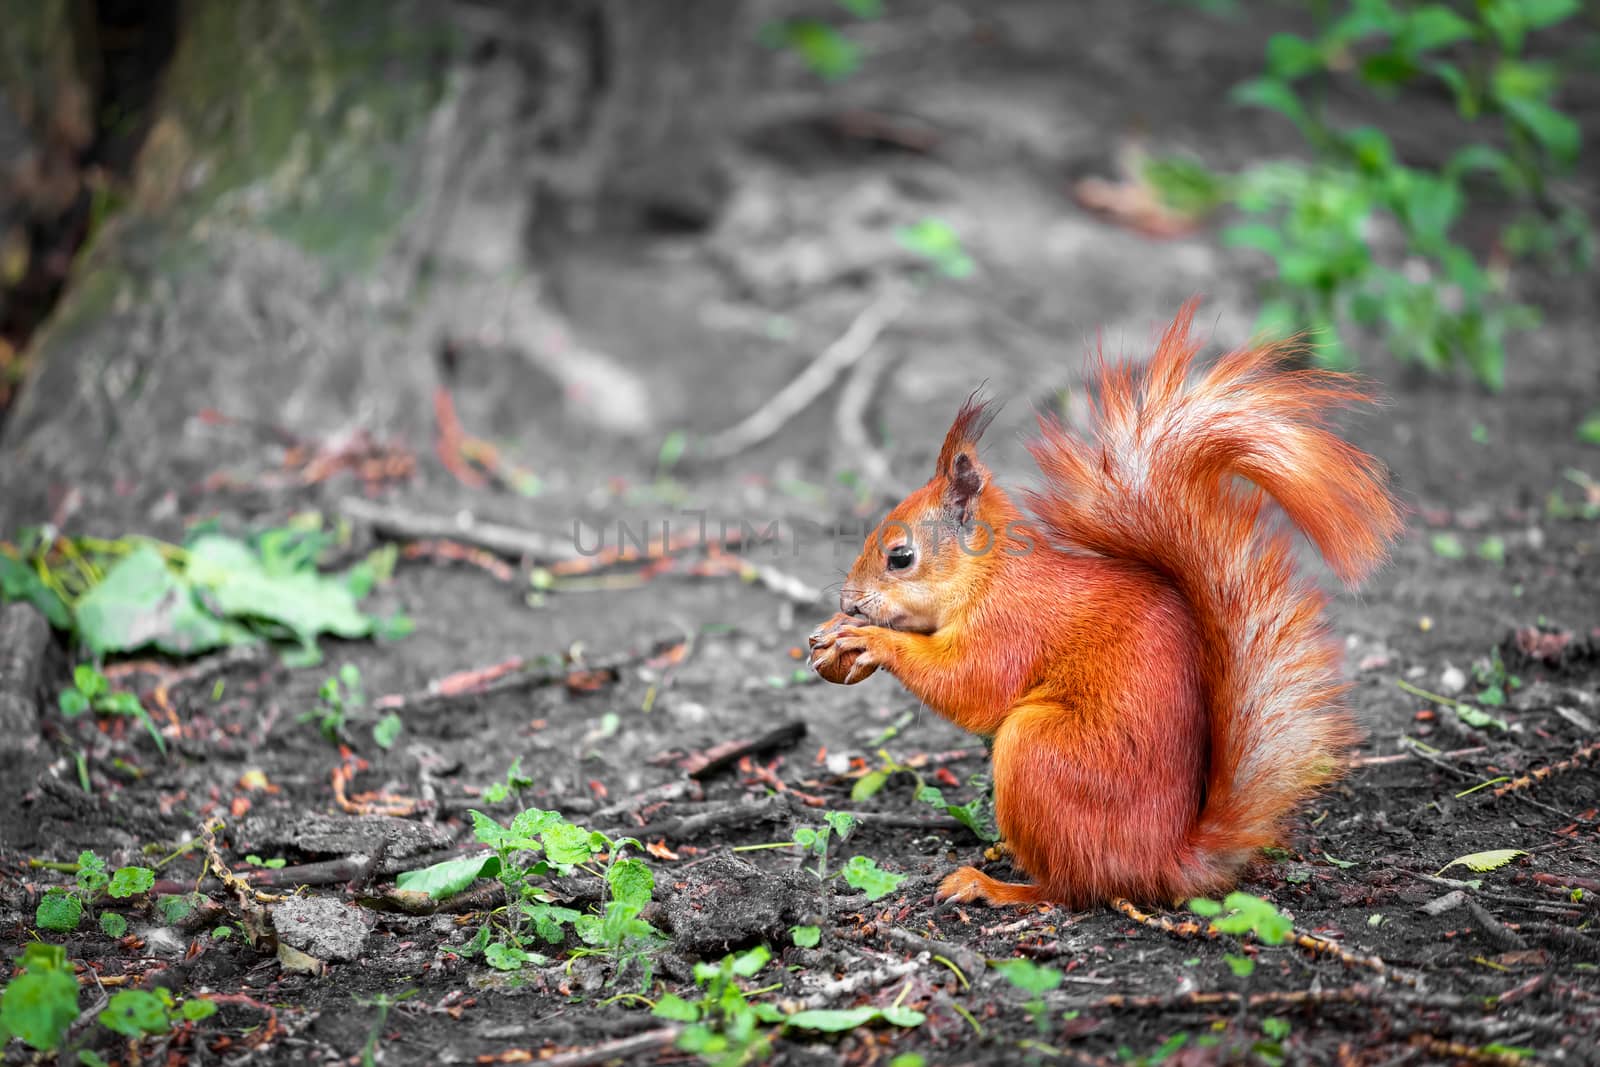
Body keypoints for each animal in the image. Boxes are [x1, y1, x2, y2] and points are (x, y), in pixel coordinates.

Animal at [812, 300, 1401, 908]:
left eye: (901, 557)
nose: (848, 602)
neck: (991, 576)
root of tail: (1164, 861)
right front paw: (833, 632)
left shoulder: (1012, 626)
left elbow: (972, 684)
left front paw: (871, 640)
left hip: (1036, 753)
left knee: (1071, 887)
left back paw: (993, 885)